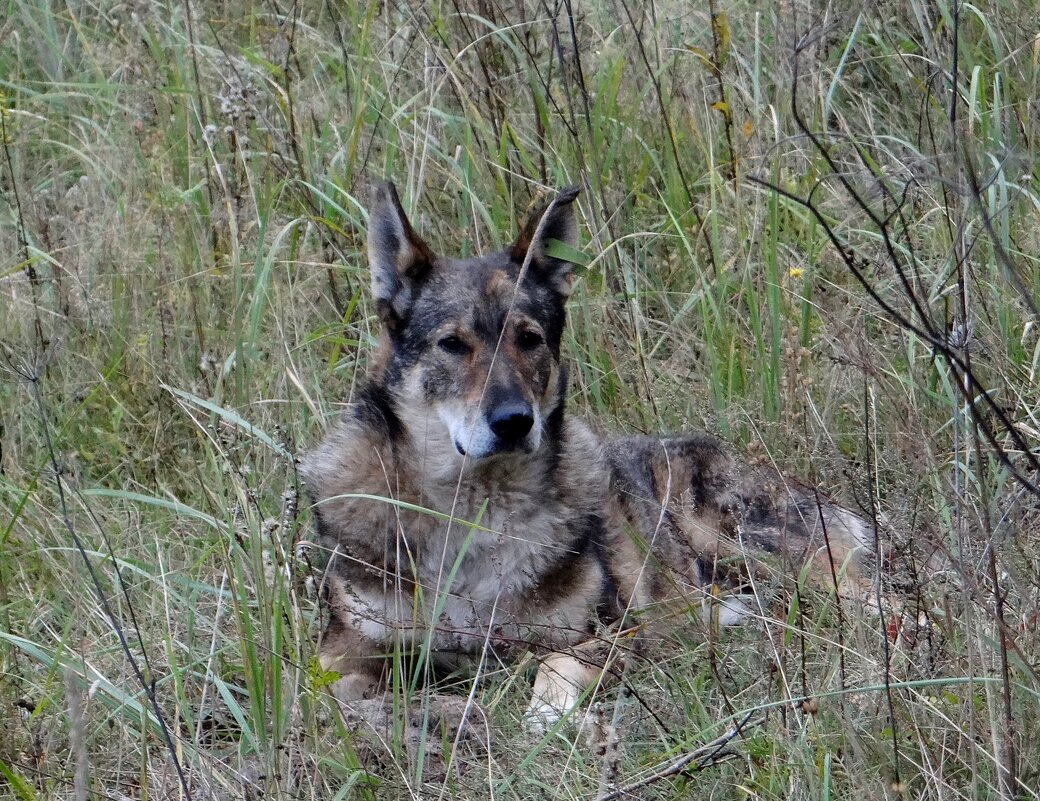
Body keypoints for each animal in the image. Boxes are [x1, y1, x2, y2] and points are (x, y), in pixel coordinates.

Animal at [301, 178, 869, 732]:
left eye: (529, 339)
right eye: (452, 344)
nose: (514, 421)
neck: (474, 514)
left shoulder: (613, 633)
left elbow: (556, 665)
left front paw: (544, 714)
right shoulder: (340, 655)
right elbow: (330, 701)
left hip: (743, 546)